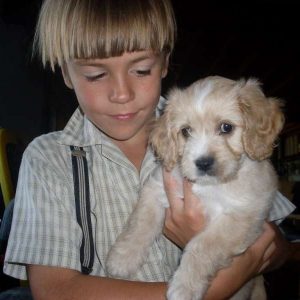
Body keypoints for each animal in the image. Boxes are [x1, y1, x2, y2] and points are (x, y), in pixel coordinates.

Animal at [106, 75, 284, 300]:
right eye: (186, 131)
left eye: (226, 127)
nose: (203, 163)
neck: (208, 187)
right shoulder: (156, 189)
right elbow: (140, 224)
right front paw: (121, 258)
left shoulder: (243, 216)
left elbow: (203, 245)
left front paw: (184, 286)